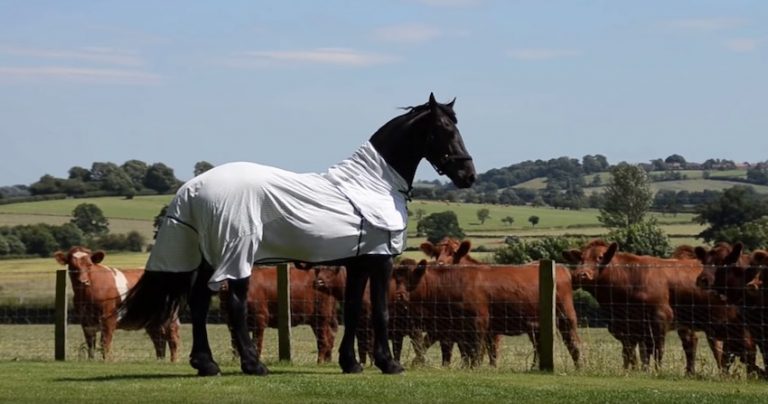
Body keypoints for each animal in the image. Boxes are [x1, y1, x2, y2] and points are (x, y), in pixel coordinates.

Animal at [117, 93, 476, 376]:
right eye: (445, 129)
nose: (468, 175)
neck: (374, 183)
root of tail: (193, 187)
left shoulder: (358, 263)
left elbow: (353, 309)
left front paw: (351, 363)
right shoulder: (381, 260)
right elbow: (380, 311)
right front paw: (388, 364)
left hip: (209, 257)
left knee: (200, 303)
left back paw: (207, 364)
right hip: (236, 255)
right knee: (234, 304)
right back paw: (253, 365)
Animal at [563, 240, 758, 375]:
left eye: (600, 257)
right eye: (581, 258)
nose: (581, 274)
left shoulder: (659, 319)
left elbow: (657, 349)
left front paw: (656, 371)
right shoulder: (628, 327)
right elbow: (632, 352)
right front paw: (633, 371)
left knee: (742, 348)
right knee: (707, 346)